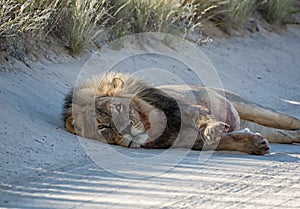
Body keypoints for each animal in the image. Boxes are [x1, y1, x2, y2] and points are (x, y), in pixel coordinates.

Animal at [62, 72, 300, 155]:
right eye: (103, 127)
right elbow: (229, 141)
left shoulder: (186, 108)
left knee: (290, 121)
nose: (127, 130)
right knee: (284, 135)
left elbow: (204, 119)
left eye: (119, 108)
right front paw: (255, 145)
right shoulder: (192, 141)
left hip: (254, 108)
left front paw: (213, 128)